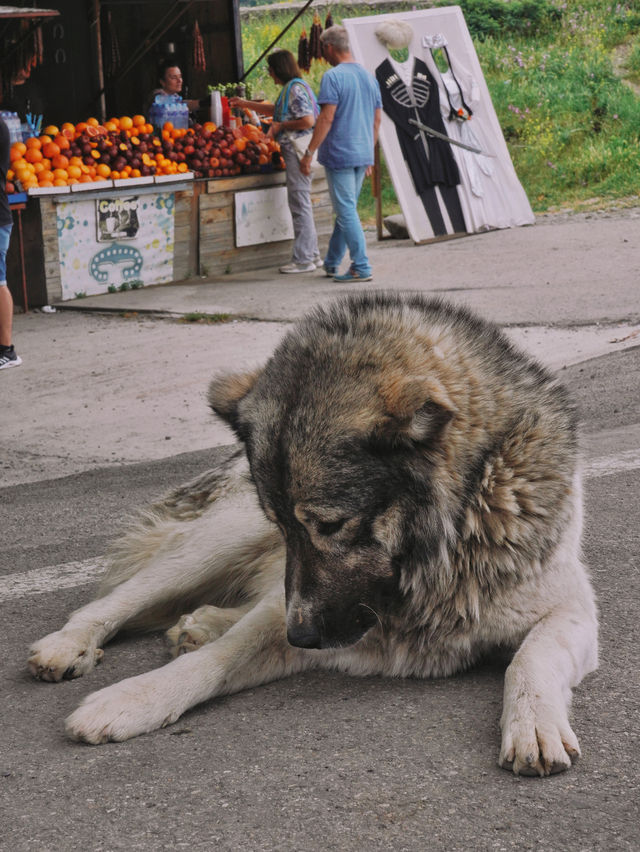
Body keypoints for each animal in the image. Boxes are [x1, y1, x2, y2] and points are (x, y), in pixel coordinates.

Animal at [27, 292, 596, 772]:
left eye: (329, 524)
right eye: (282, 524)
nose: (299, 637)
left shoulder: (572, 608)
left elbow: (530, 658)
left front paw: (532, 724)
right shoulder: (290, 610)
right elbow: (218, 659)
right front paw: (131, 699)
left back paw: (201, 622)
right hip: (218, 544)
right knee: (115, 600)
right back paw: (71, 644)